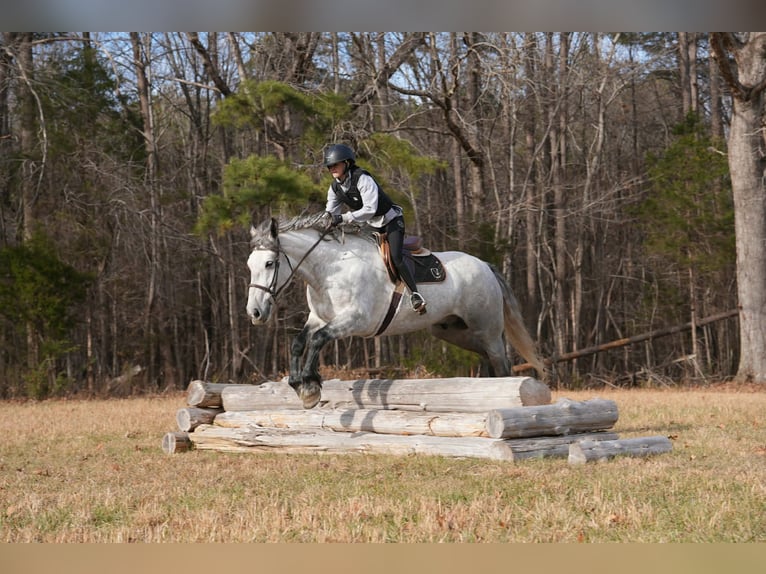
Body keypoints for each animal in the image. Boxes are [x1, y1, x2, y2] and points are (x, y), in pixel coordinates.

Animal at [246, 213, 545, 409]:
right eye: (250, 264)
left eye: (270, 263)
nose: (255, 313)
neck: (330, 269)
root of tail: (485, 266)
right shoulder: (319, 318)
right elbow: (299, 342)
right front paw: (299, 384)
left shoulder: (355, 320)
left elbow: (319, 340)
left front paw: (310, 386)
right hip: (452, 331)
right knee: (486, 357)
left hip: (487, 328)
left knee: (500, 361)